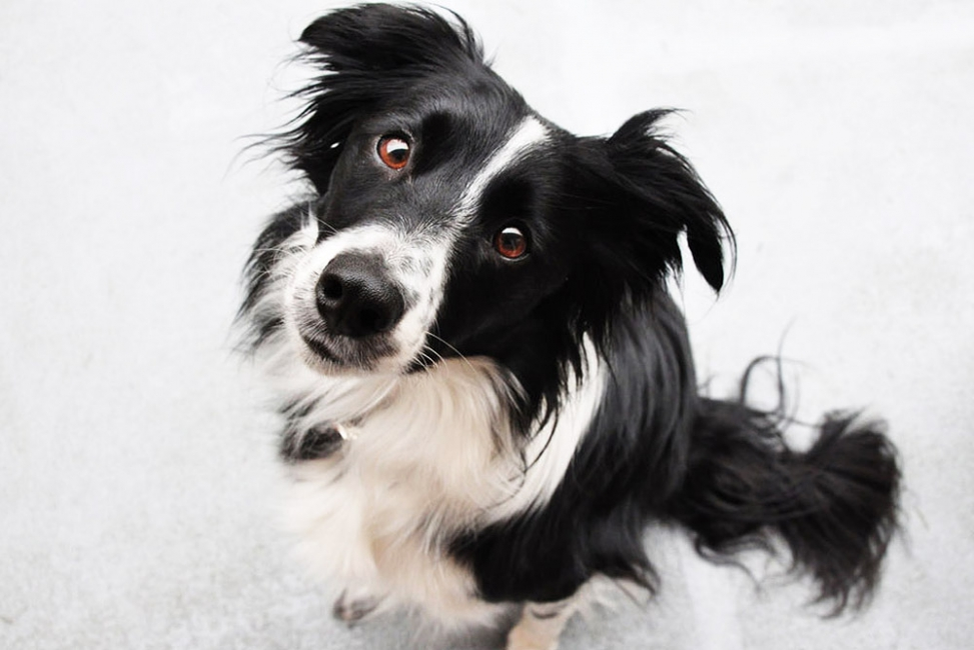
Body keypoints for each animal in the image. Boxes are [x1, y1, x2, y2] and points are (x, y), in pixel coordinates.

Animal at [239, 5, 900, 649]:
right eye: (395, 150)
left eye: (513, 241)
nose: (355, 298)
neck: (413, 405)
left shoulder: (562, 564)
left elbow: (538, 622)